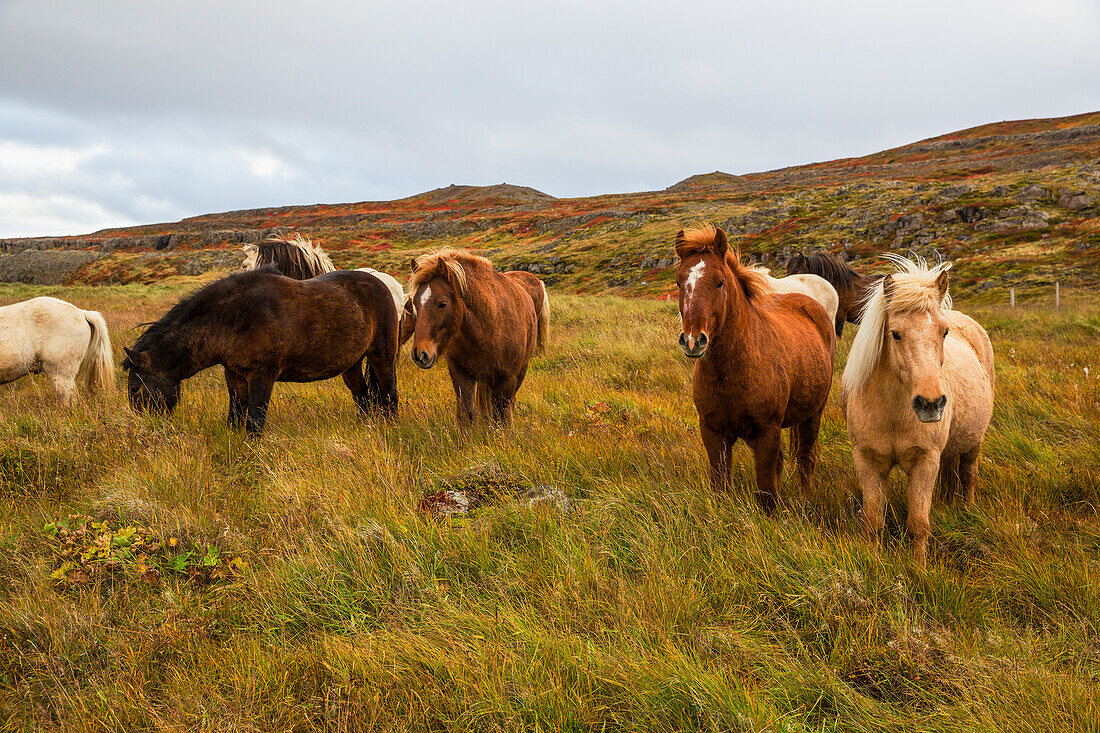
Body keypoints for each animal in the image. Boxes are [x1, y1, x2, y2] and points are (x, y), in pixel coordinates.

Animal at [122, 267, 398, 433]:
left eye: (135, 388)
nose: (144, 427)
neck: (233, 318)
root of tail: (382, 283)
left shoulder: (262, 376)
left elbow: (255, 421)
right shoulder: (234, 375)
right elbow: (235, 418)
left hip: (382, 356)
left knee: (389, 394)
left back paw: (392, 426)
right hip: (351, 364)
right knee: (362, 395)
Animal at [409, 248, 550, 424]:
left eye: (442, 304)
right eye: (414, 303)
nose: (419, 354)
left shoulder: (507, 380)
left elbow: (502, 417)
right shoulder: (461, 375)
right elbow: (466, 413)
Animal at [673, 225, 836, 510]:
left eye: (720, 281)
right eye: (679, 282)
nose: (693, 340)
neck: (731, 371)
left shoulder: (766, 433)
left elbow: (767, 493)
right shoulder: (713, 433)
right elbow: (721, 485)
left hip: (813, 414)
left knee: (806, 458)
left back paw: (805, 498)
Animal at [840, 255, 998, 563]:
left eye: (944, 332)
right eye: (895, 334)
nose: (931, 404)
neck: (892, 413)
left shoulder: (925, 461)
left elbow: (918, 523)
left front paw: (919, 568)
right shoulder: (867, 461)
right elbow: (873, 521)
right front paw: (873, 561)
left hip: (974, 442)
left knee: (969, 475)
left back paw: (968, 510)